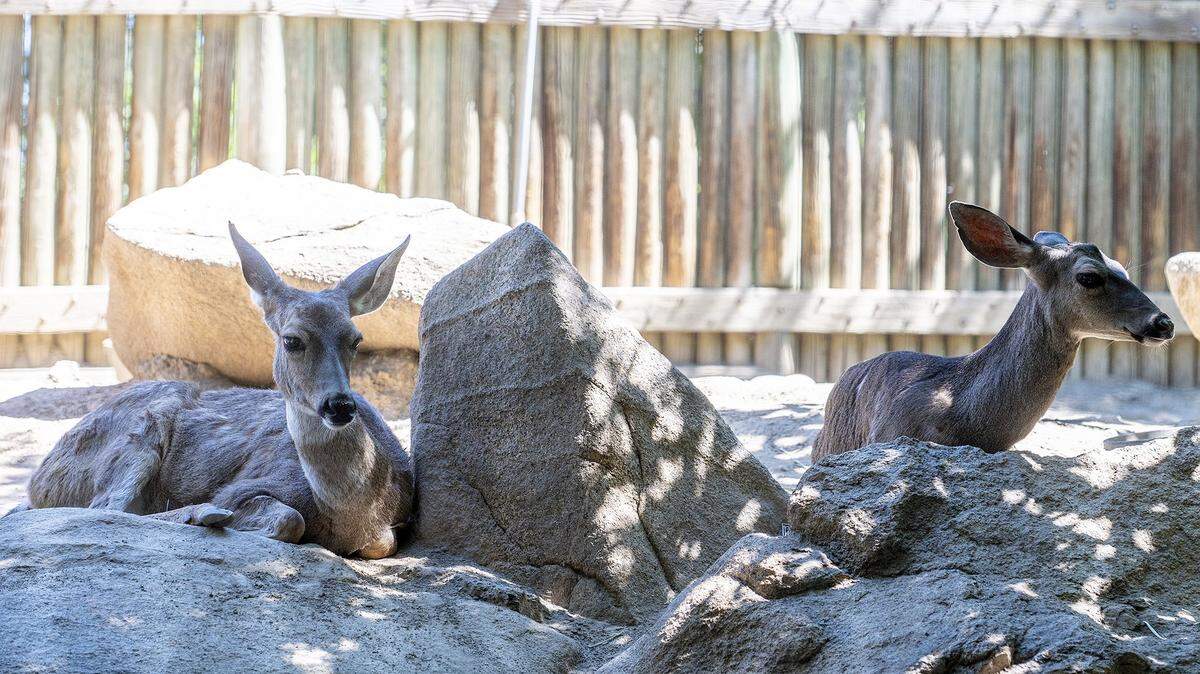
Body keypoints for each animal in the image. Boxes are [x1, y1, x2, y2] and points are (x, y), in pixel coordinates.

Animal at [18, 224, 415, 559]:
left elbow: (384, 542)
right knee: (111, 509)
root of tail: (40, 478)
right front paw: (215, 514)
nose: (340, 405)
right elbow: (291, 520)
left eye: (356, 339)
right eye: (292, 340)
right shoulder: (244, 486)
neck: (354, 511)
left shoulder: (387, 529)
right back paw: (204, 513)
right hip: (136, 436)